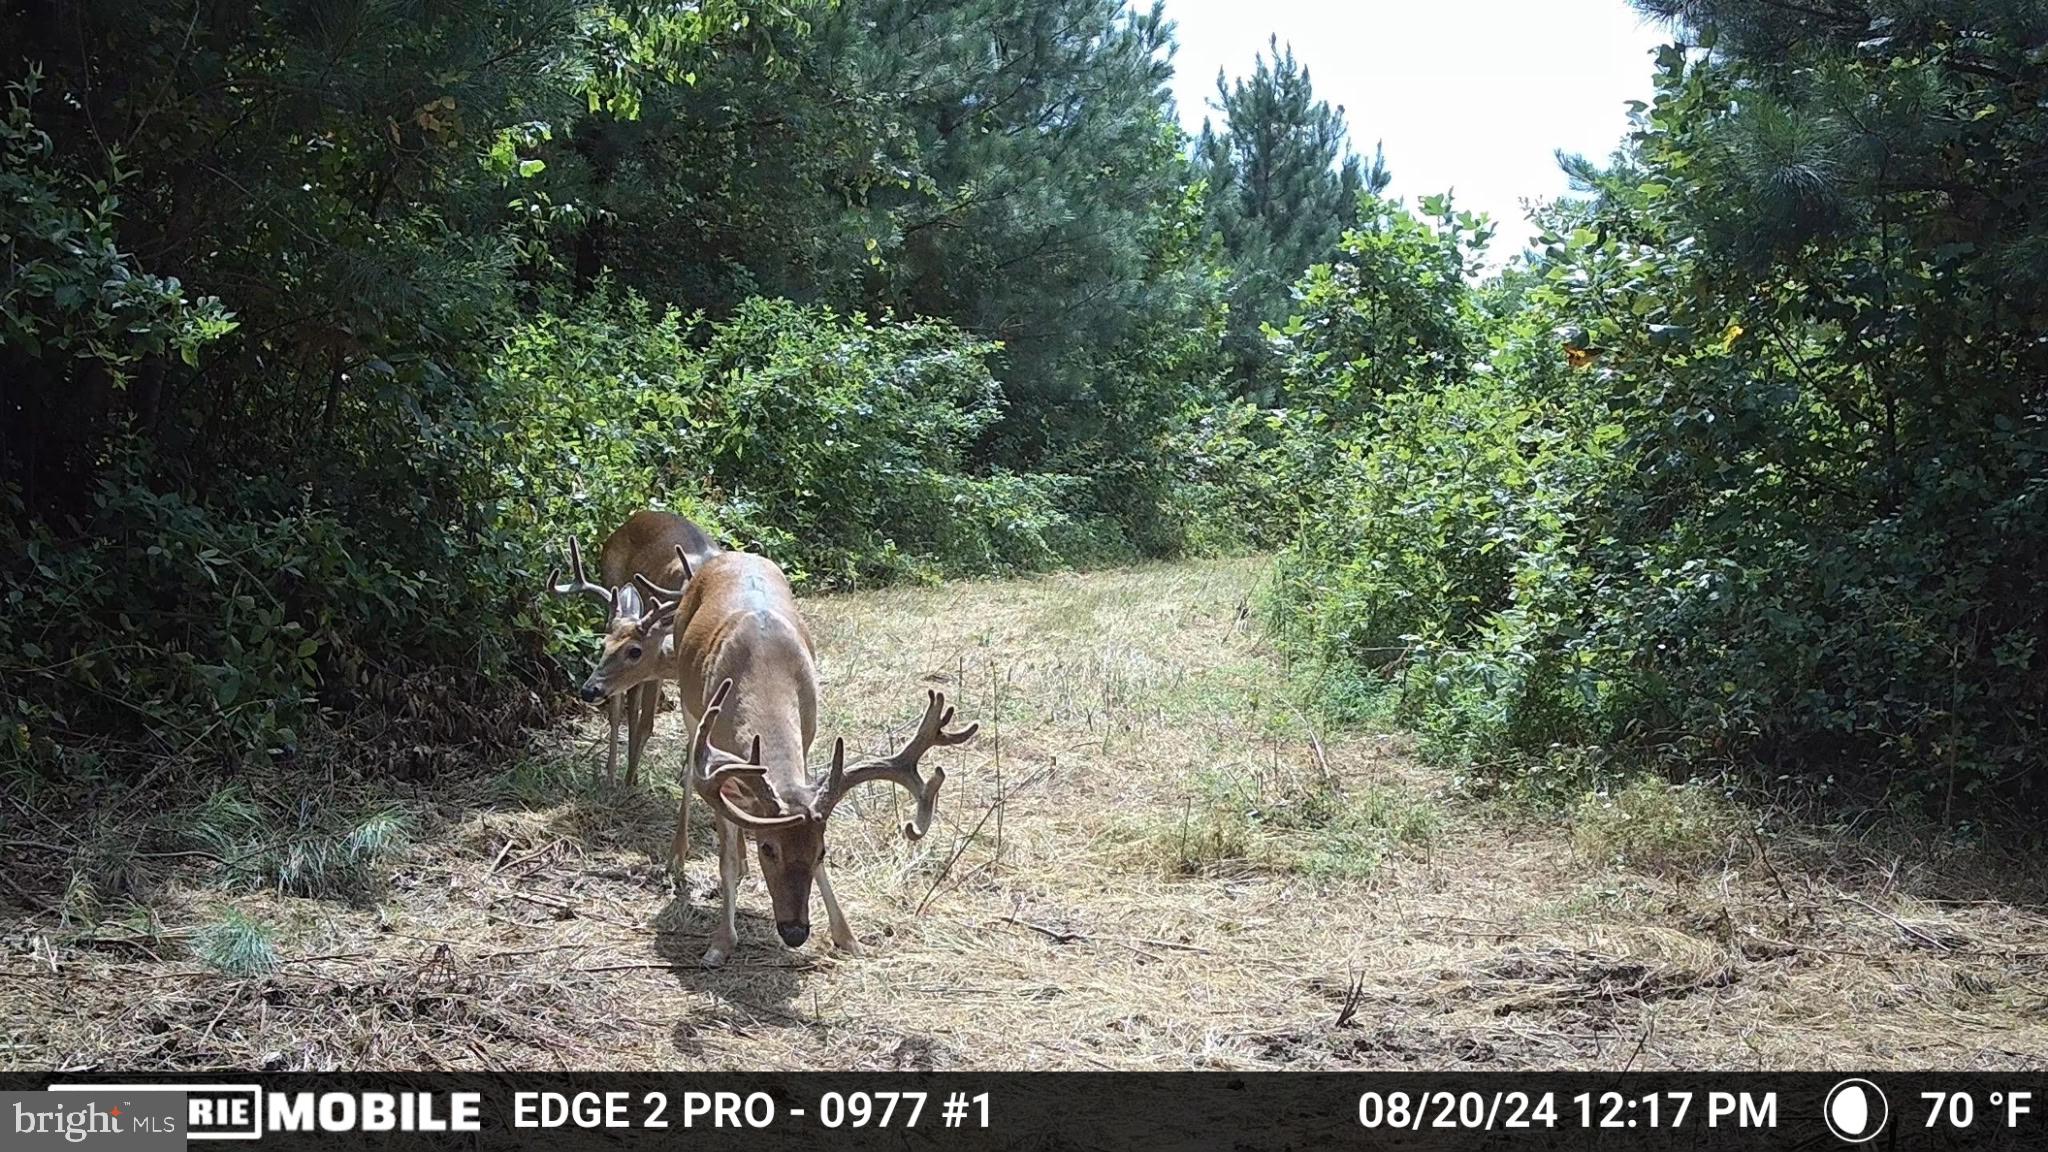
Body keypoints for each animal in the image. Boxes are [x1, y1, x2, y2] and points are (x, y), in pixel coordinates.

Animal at [548, 510, 719, 787]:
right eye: (603, 645)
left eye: (635, 651)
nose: (588, 690)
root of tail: (635, 517)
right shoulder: (654, 672)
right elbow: (645, 723)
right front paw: (627, 781)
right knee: (621, 711)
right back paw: (613, 776)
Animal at [583, 547, 975, 966]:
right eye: (768, 848)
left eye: (822, 851)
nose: (795, 931)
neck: (765, 668)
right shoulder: (713, 756)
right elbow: (724, 854)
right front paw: (720, 943)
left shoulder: (805, 741)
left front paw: (848, 937)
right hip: (692, 715)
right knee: (690, 775)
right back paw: (679, 857)